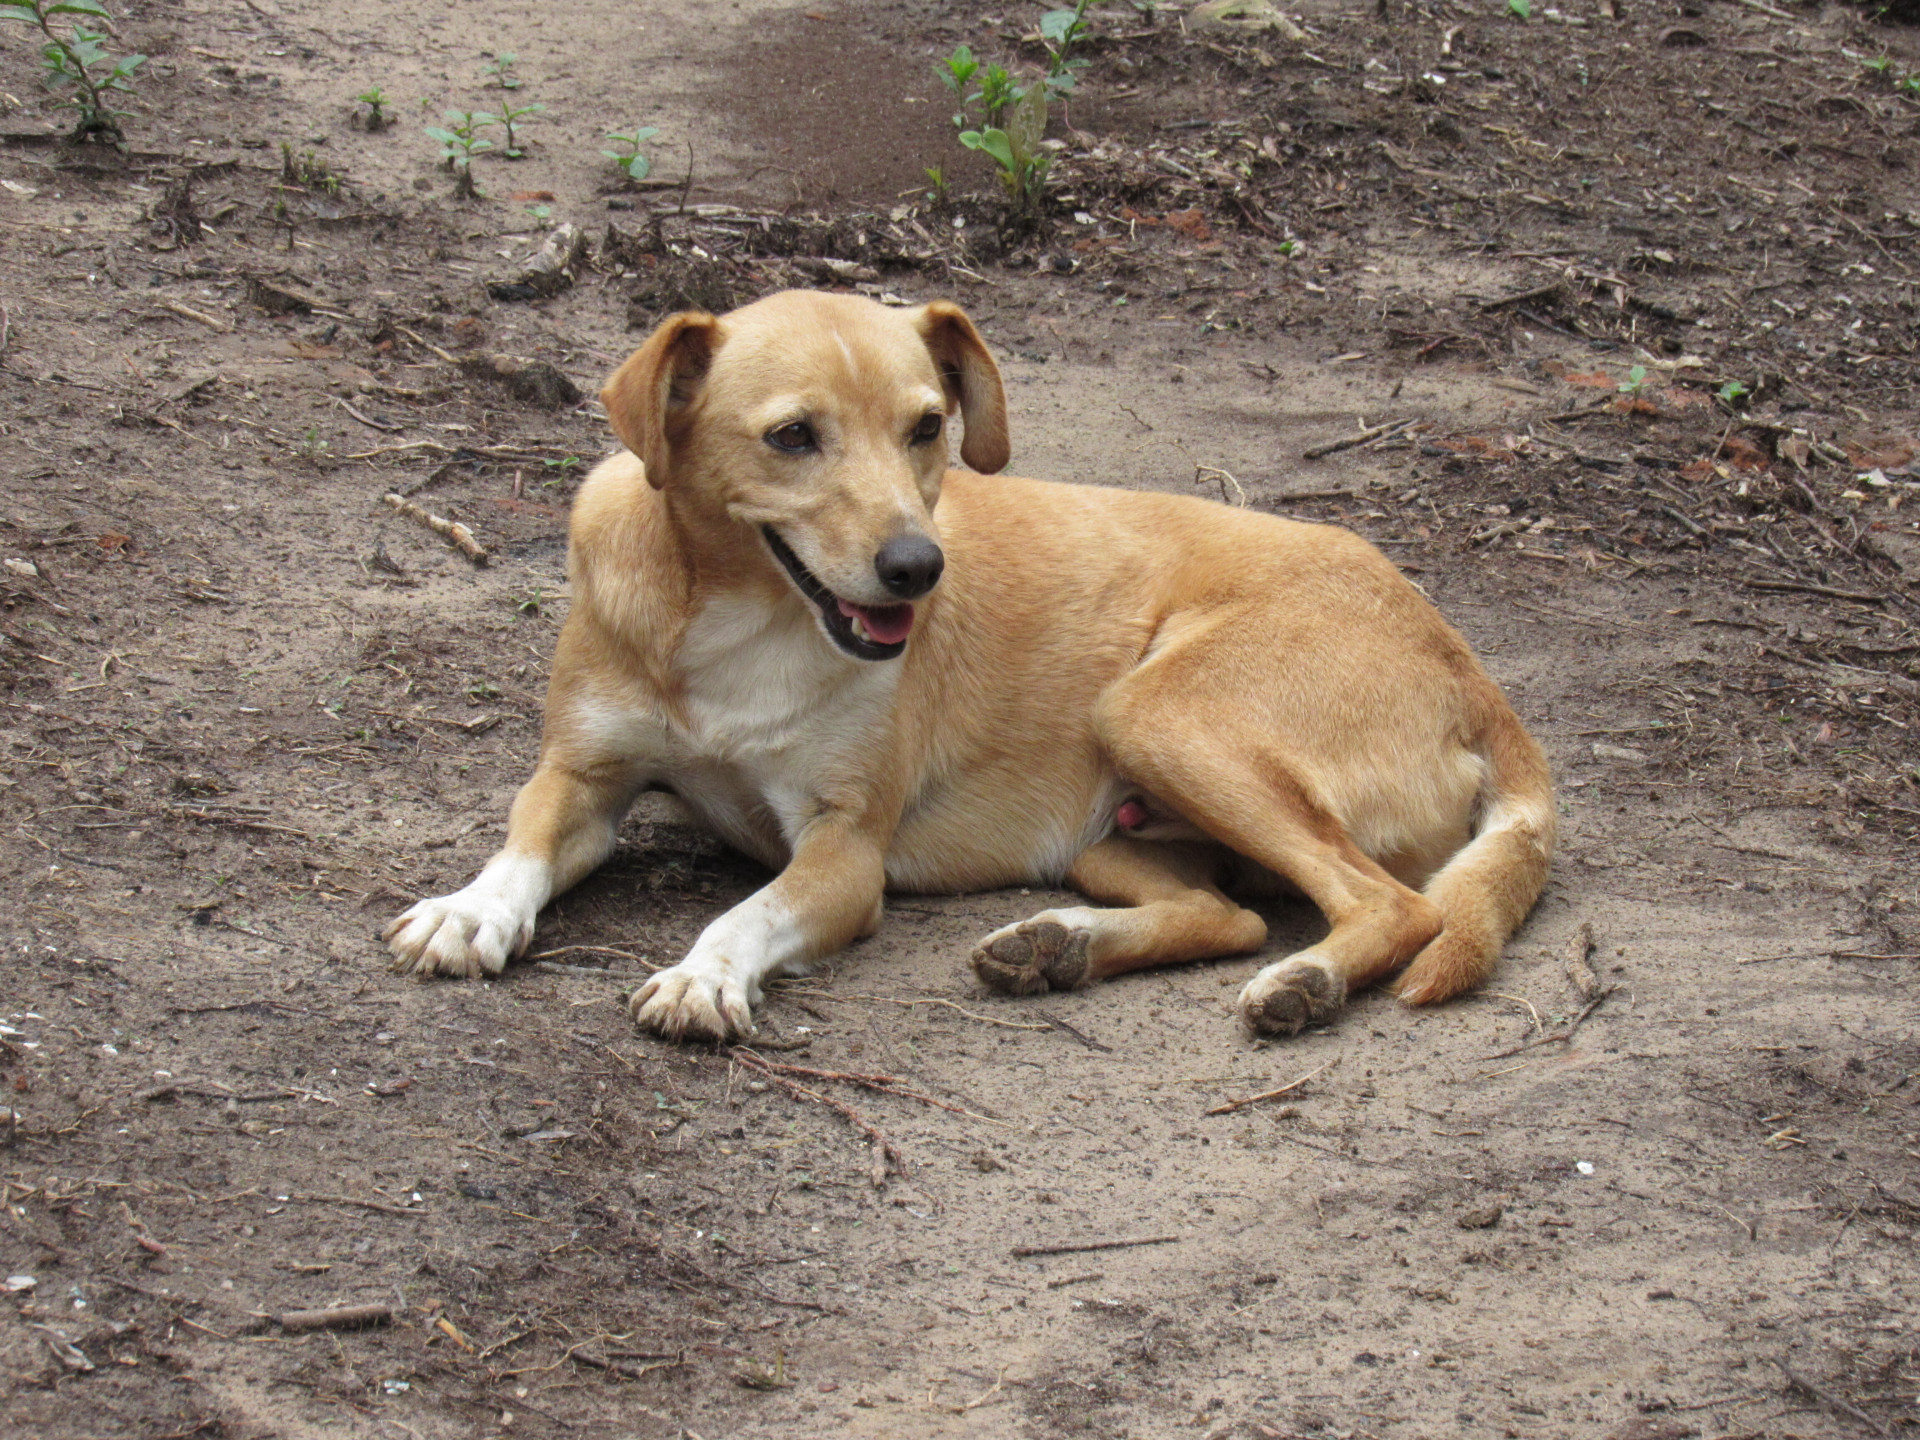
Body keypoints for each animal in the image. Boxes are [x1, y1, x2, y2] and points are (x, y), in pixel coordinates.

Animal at [382, 288, 1551, 1044]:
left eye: (927, 426)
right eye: (792, 436)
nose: (917, 567)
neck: (739, 620)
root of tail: (1475, 678)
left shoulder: (843, 852)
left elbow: (747, 912)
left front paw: (704, 974)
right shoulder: (579, 778)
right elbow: (521, 847)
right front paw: (469, 909)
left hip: (1161, 715)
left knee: (1392, 909)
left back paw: (1301, 982)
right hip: (1117, 827)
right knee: (1234, 915)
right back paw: (1061, 947)